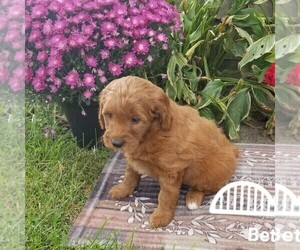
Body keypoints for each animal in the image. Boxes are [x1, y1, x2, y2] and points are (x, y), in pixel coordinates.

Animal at [98, 75, 239, 228]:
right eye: (109, 115)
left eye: (135, 119)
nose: (116, 143)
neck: (150, 133)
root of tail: (232, 149)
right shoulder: (133, 159)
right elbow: (130, 175)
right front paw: (123, 189)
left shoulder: (171, 170)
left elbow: (166, 195)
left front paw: (161, 216)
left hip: (208, 173)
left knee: (206, 187)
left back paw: (193, 199)